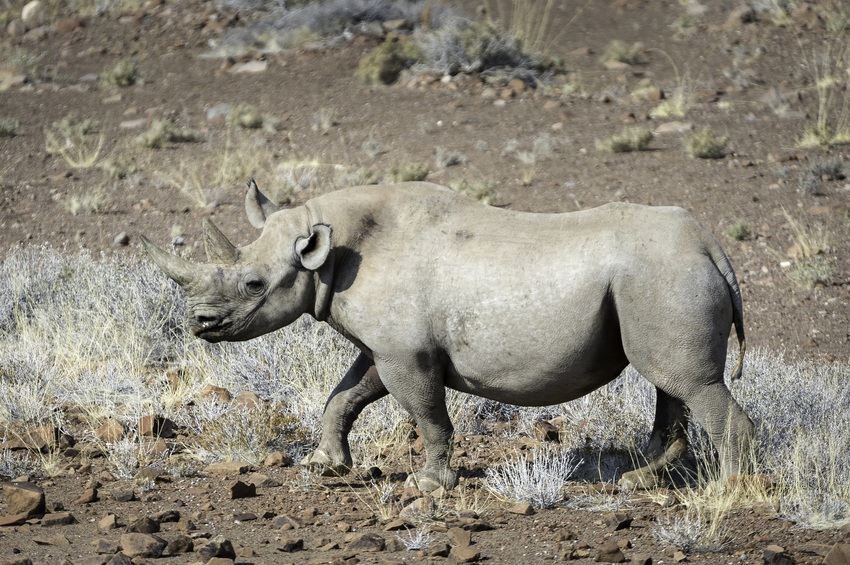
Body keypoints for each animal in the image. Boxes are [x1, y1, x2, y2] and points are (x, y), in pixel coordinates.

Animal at [142, 180, 754, 491]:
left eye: (252, 284)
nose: (199, 324)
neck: (329, 249)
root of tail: (713, 248)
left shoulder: (407, 353)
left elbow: (428, 416)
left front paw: (428, 486)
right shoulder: (385, 347)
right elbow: (345, 395)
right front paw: (326, 465)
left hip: (664, 277)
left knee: (689, 383)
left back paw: (725, 493)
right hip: (657, 279)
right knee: (671, 383)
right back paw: (637, 481)